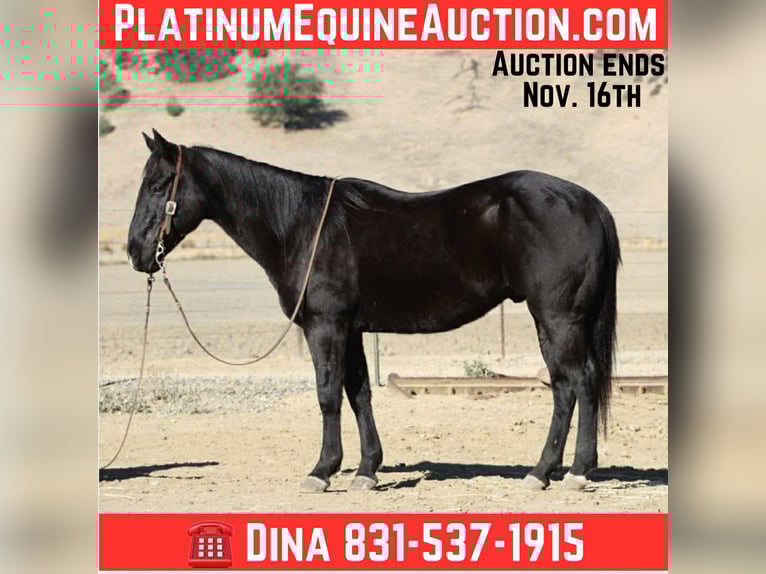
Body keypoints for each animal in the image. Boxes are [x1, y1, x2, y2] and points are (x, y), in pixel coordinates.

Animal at [127, 129, 620, 492]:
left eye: (158, 184)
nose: (135, 252)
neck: (302, 225)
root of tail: (589, 203)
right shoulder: (352, 329)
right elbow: (358, 393)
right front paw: (366, 470)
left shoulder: (325, 326)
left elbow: (328, 394)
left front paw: (321, 471)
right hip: (554, 321)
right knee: (565, 386)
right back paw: (547, 471)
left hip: (557, 318)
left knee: (577, 382)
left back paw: (570, 472)